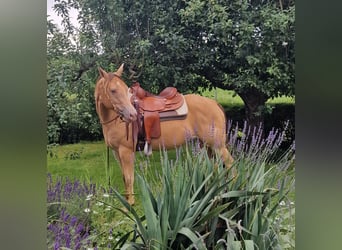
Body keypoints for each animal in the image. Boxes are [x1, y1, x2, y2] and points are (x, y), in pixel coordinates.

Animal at [95, 63, 234, 204]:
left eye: (124, 89)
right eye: (113, 90)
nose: (132, 115)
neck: (116, 120)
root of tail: (214, 103)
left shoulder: (126, 152)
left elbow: (129, 179)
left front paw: (129, 205)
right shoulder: (117, 152)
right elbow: (125, 178)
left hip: (217, 145)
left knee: (230, 163)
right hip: (206, 145)